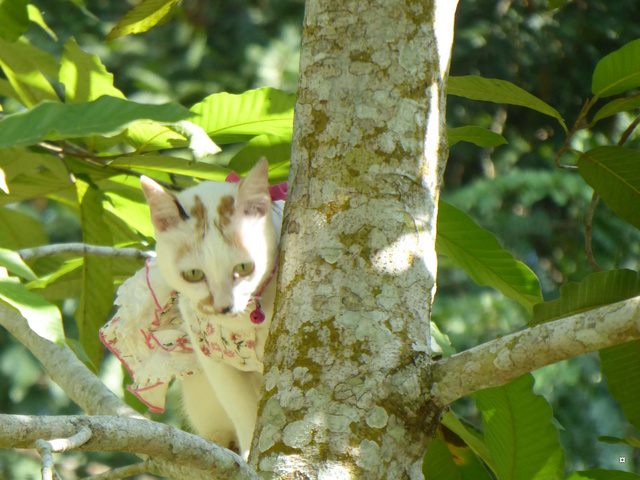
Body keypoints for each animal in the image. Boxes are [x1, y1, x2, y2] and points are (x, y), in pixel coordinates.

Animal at [102, 158, 282, 458]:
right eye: (194, 274)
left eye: (244, 267)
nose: (223, 306)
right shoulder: (211, 358)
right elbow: (243, 412)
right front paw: (249, 457)